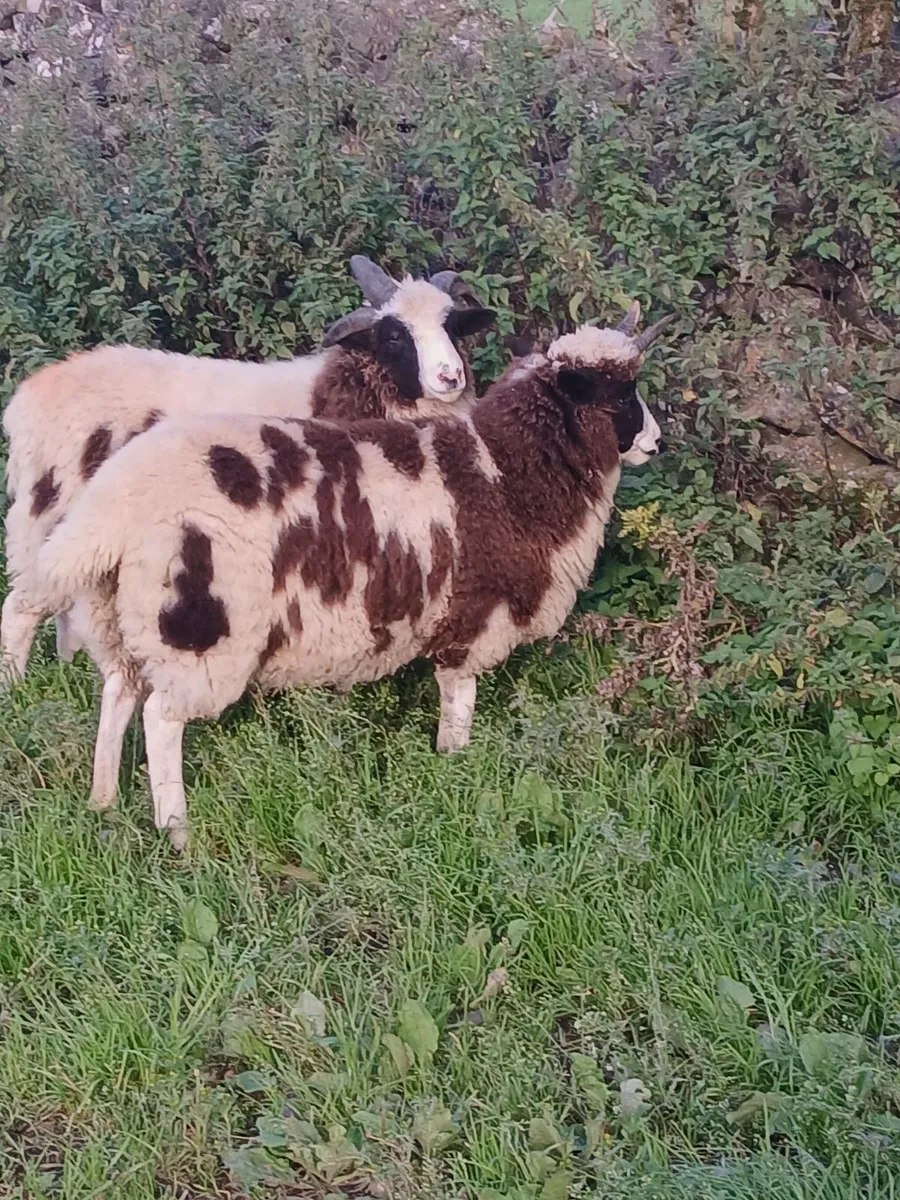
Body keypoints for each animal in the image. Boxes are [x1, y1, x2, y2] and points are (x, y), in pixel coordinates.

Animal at [0, 256, 496, 681]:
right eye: (394, 335)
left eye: (451, 325)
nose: (451, 377)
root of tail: (27, 397)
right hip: (46, 519)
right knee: (19, 607)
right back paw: (19, 686)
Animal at [28, 302, 670, 850]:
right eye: (618, 393)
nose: (656, 441)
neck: (508, 471)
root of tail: (113, 502)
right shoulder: (472, 620)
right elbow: (458, 709)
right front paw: (457, 769)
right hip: (202, 628)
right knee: (162, 720)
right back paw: (177, 833)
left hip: (126, 618)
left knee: (119, 693)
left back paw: (104, 800)